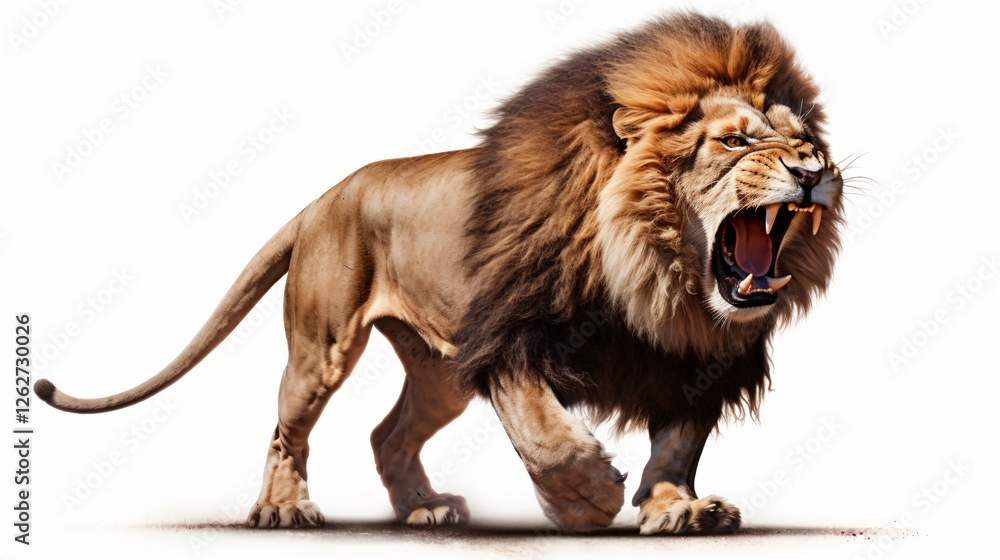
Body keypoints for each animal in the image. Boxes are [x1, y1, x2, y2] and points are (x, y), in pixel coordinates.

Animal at [35, 13, 843, 535]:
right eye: (734, 142)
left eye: (806, 139)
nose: (815, 171)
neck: (659, 278)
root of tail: (323, 197)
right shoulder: (511, 336)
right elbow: (545, 433)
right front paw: (584, 501)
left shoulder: (695, 362)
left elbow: (677, 443)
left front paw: (678, 509)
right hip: (322, 349)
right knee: (287, 429)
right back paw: (283, 508)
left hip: (438, 371)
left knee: (387, 435)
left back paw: (424, 507)